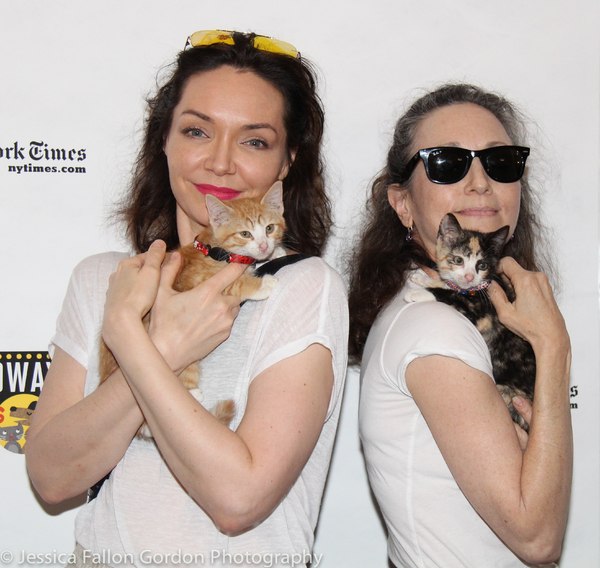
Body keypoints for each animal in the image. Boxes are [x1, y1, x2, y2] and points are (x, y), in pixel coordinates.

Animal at [98, 182, 286, 440]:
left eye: (269, 228)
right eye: (245, 233)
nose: (264, 245)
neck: (218, 250)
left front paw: (275, 252)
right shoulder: (198, 281)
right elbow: (237, 284)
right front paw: (262, 284)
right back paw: (191, 395)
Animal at [406, 215, 536, 432]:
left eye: (482, 265)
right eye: (459, 260)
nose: (469, 276)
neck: (474, 290)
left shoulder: (482, 312)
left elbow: (451, 296)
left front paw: (418, 292)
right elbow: (450, 286)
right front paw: (423, 278)